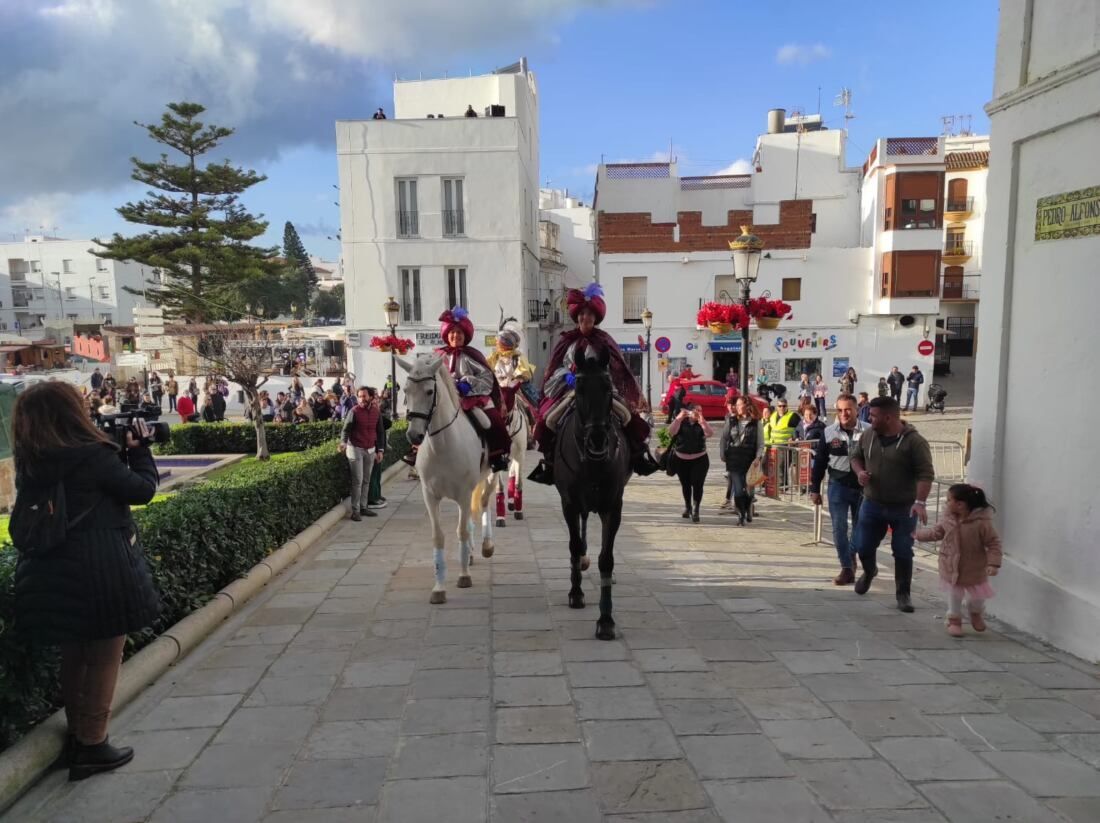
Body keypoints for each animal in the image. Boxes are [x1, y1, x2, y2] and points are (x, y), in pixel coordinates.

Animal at [400, 354, 495, 602]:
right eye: (405, 390)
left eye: (429, 391)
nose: (414, 435)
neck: (442, 446)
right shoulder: (430, 496)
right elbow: (439, 537)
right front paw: (439, 587)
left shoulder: (463, 493)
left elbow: (461, 531)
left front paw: (463, 576)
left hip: (492, 474)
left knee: (484, 503)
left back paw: (486, 545)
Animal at [554, 343, 633, 638]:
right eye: (578, 389)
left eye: (609, 389)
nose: (598, 439)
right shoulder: (569, 504)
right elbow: (575, 545)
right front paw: (576, 593)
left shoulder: (613, 506)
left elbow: (606, 559)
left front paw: (606, 620)